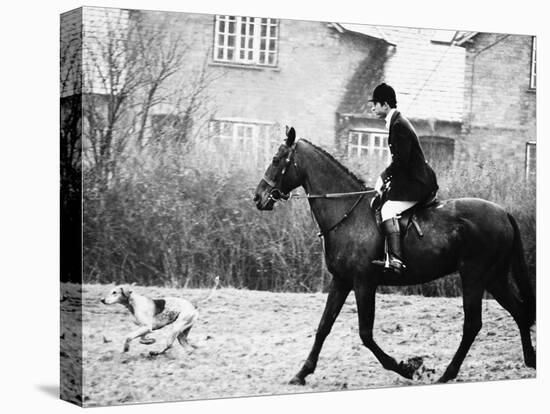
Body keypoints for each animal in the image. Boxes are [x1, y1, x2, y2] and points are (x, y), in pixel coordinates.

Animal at [256, 127, 536, 384]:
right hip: (494, 278)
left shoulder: (363, 282)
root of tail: (503, 213)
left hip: (474, 277)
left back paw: (448, 374)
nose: (258, 198)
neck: (347, 213)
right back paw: (530, 361)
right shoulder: (341, 280)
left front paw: (406, 368)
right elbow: (324, 326)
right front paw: (301, 373)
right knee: (519, 311)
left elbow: (365, 334)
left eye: (276, 159)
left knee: (473, 325)